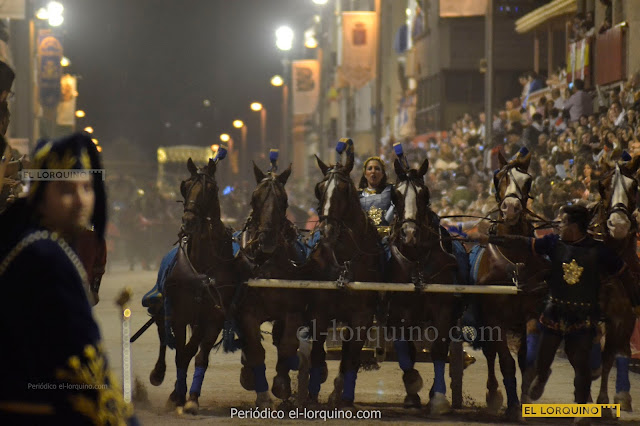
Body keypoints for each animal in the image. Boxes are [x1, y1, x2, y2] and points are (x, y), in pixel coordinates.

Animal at [149, 157, 237, 413]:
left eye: (212, 189)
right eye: (185, 186)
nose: (188, 221)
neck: (201, 266)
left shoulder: (213, 316)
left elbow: (197, 355)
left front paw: (191, 398)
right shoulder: (179, 314)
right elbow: (180, 354)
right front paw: (178, 395)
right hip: (164, 305)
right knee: (162, 332)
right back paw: (159, 373)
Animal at [232, 162, 313, 408]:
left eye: (284, 200)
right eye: (254, 199)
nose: (266, 239)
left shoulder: (292, 310)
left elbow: (286, 344)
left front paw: (281, 384)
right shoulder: (247, 311)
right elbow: (255, 348)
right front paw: (260, 392)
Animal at [304, 153, 382, 407]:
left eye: (343, 189)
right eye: (320, 189)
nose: (327, 229)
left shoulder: (361, 317)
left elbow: (351, 357)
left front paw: (341, 395)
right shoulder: (319, 311)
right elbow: (317, 352)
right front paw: (312, 393)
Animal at [387, 157, 462, 414]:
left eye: (425, 193)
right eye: (395, 195)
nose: (409, 234)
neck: (418, 261)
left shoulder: (444, 309)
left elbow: (439, 348)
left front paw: (438, 397)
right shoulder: (400, 311)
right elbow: (406, 350)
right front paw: (412, 389)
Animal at [472, 150, 550, 420]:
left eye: (528, 180)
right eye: (499, 178)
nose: (512, 207)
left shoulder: (532, 312)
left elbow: (527, 359)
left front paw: (525, 400)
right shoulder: (494, 318)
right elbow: (505, 361)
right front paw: (512, 405)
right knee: (491, 354)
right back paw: (493, 394)